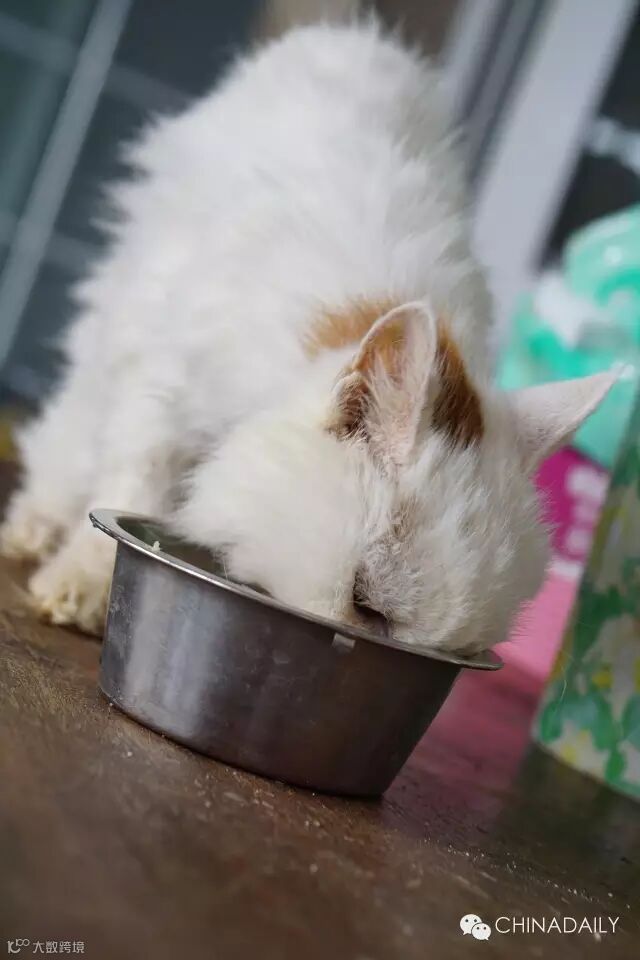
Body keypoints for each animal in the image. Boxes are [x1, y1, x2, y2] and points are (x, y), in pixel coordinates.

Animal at [0, 21, 613, 650]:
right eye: (366, 606)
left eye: (457, 651)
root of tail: (351, 34)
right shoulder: (163, 387)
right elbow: (132, 483)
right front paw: (84, 583)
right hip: (127, 294)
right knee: (76, 421)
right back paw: (35, 522)